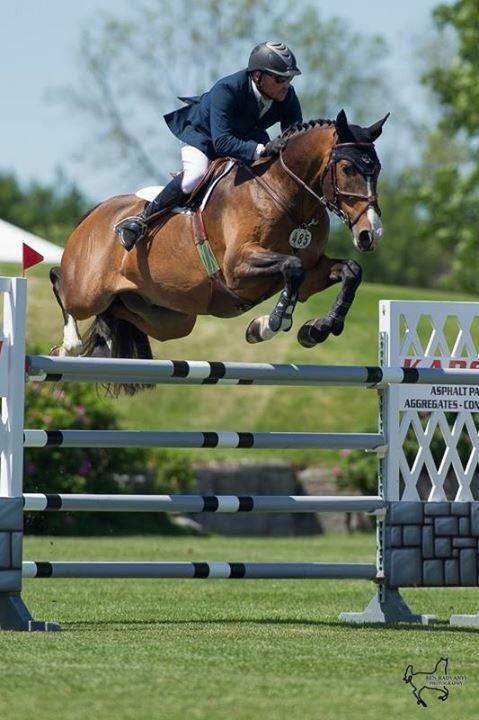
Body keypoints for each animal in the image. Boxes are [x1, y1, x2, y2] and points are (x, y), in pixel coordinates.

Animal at [50, 109, 388, 392]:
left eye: (377, 170)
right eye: (347, 167)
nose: (371, 234)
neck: (288, 198)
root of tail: (94, 213)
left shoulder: (314, 272)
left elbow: (350, 272)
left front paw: (317, 329)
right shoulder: (237, 268)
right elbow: (292, 267)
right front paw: (267, 325)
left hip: (167, 317)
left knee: (117, 309)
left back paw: (103, 344)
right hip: (88, 291)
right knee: (59, 281)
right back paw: (69, 345)